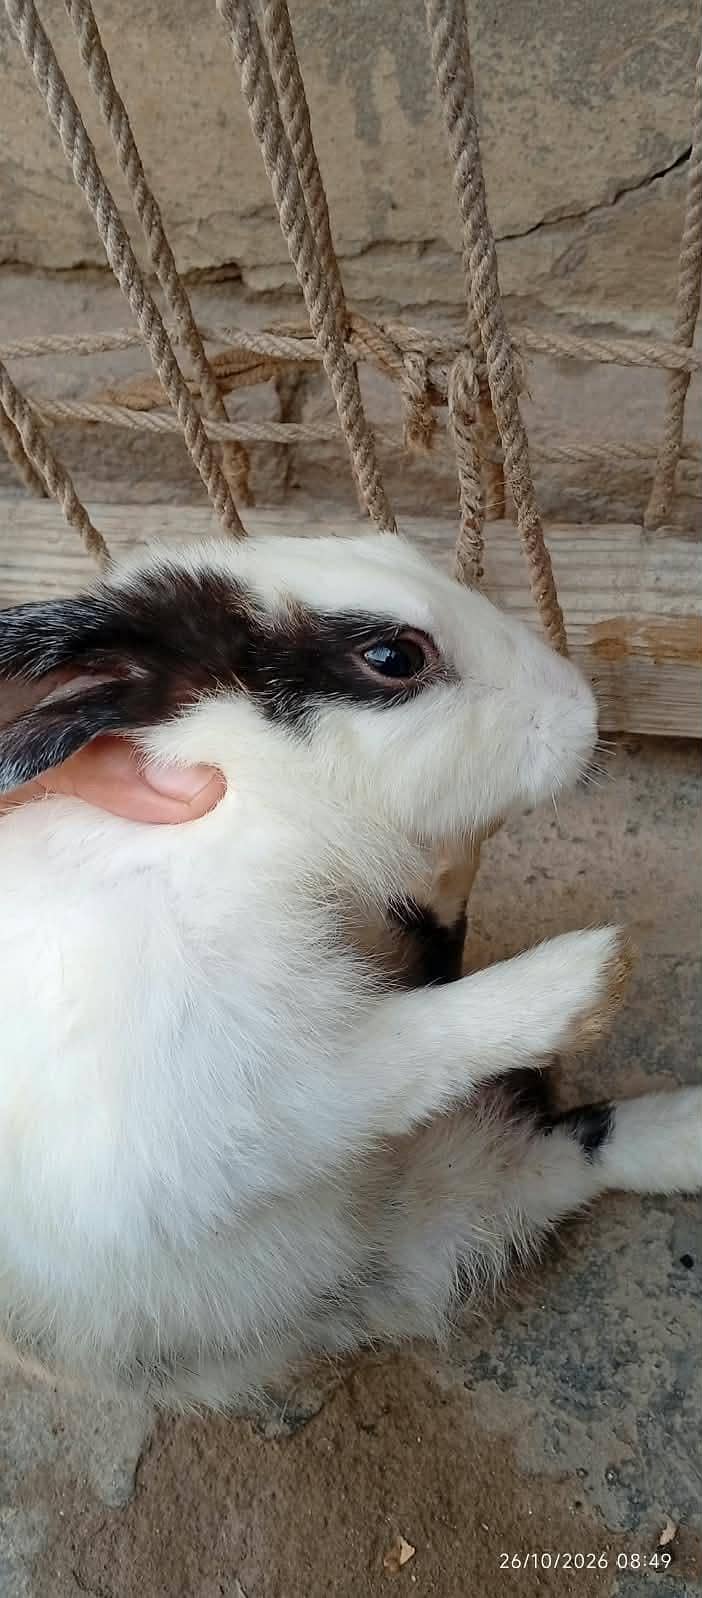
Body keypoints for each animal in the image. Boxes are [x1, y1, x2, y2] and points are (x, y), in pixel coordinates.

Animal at [0, 530, 699, 1413]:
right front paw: (585, 974)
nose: (587, 713)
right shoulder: (225, 1104)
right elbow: (392, 1057)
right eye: (393, 656)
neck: (246, 800)